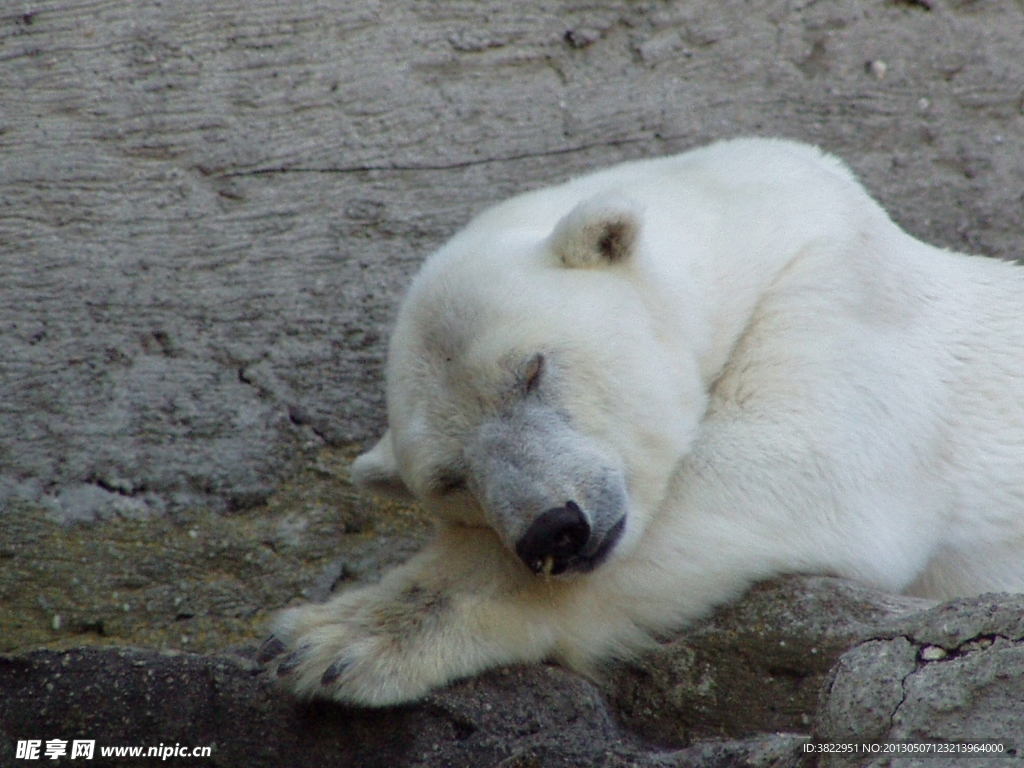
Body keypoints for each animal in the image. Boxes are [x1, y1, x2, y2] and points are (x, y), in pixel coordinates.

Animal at [260, 140, 1024, 708]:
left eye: (532, 368)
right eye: (451, 478)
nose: (553, 530)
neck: (747, 226)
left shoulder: (834, 289)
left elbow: (805, 462)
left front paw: (340, 640)